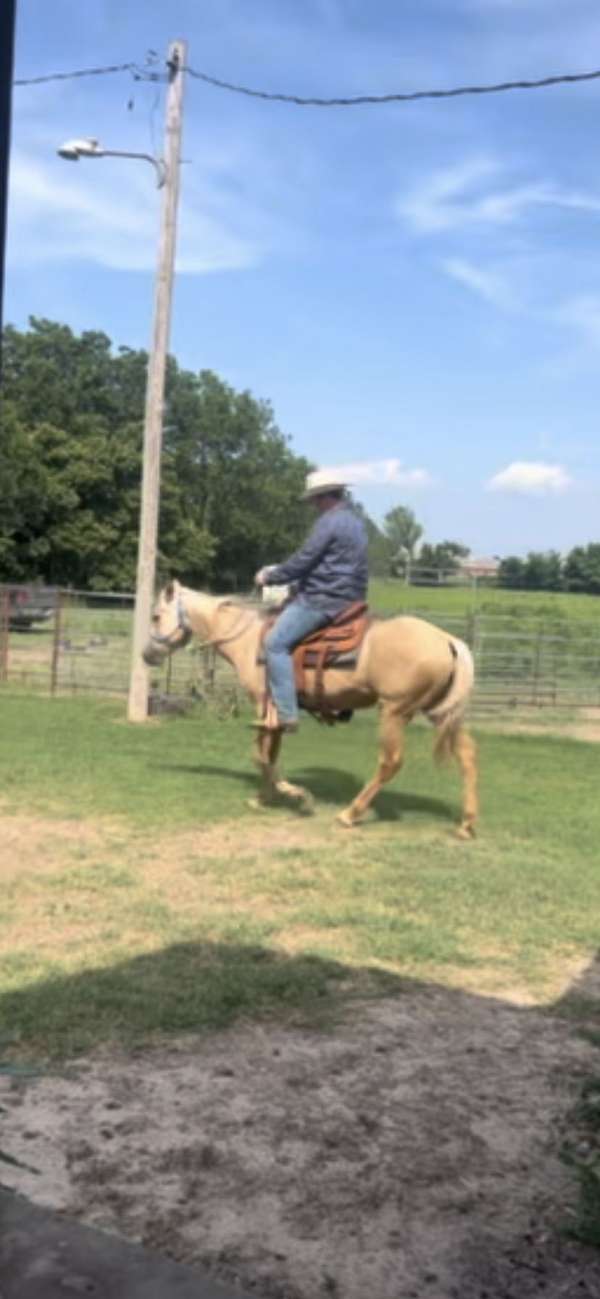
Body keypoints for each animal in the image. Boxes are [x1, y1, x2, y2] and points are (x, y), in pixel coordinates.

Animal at [141, 581, 477, 841]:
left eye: (156, 616)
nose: (146, 655)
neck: (249, 641)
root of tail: (448, 640)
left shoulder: (263, 704)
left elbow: (260, 756)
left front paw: (297, 796)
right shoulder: (275, 713)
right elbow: (269, 755)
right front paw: (265, 797)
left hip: (394, 712)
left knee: (390, 762)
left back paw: (349, 814)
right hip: (441, 714)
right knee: (467, 756)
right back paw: (467, 824)